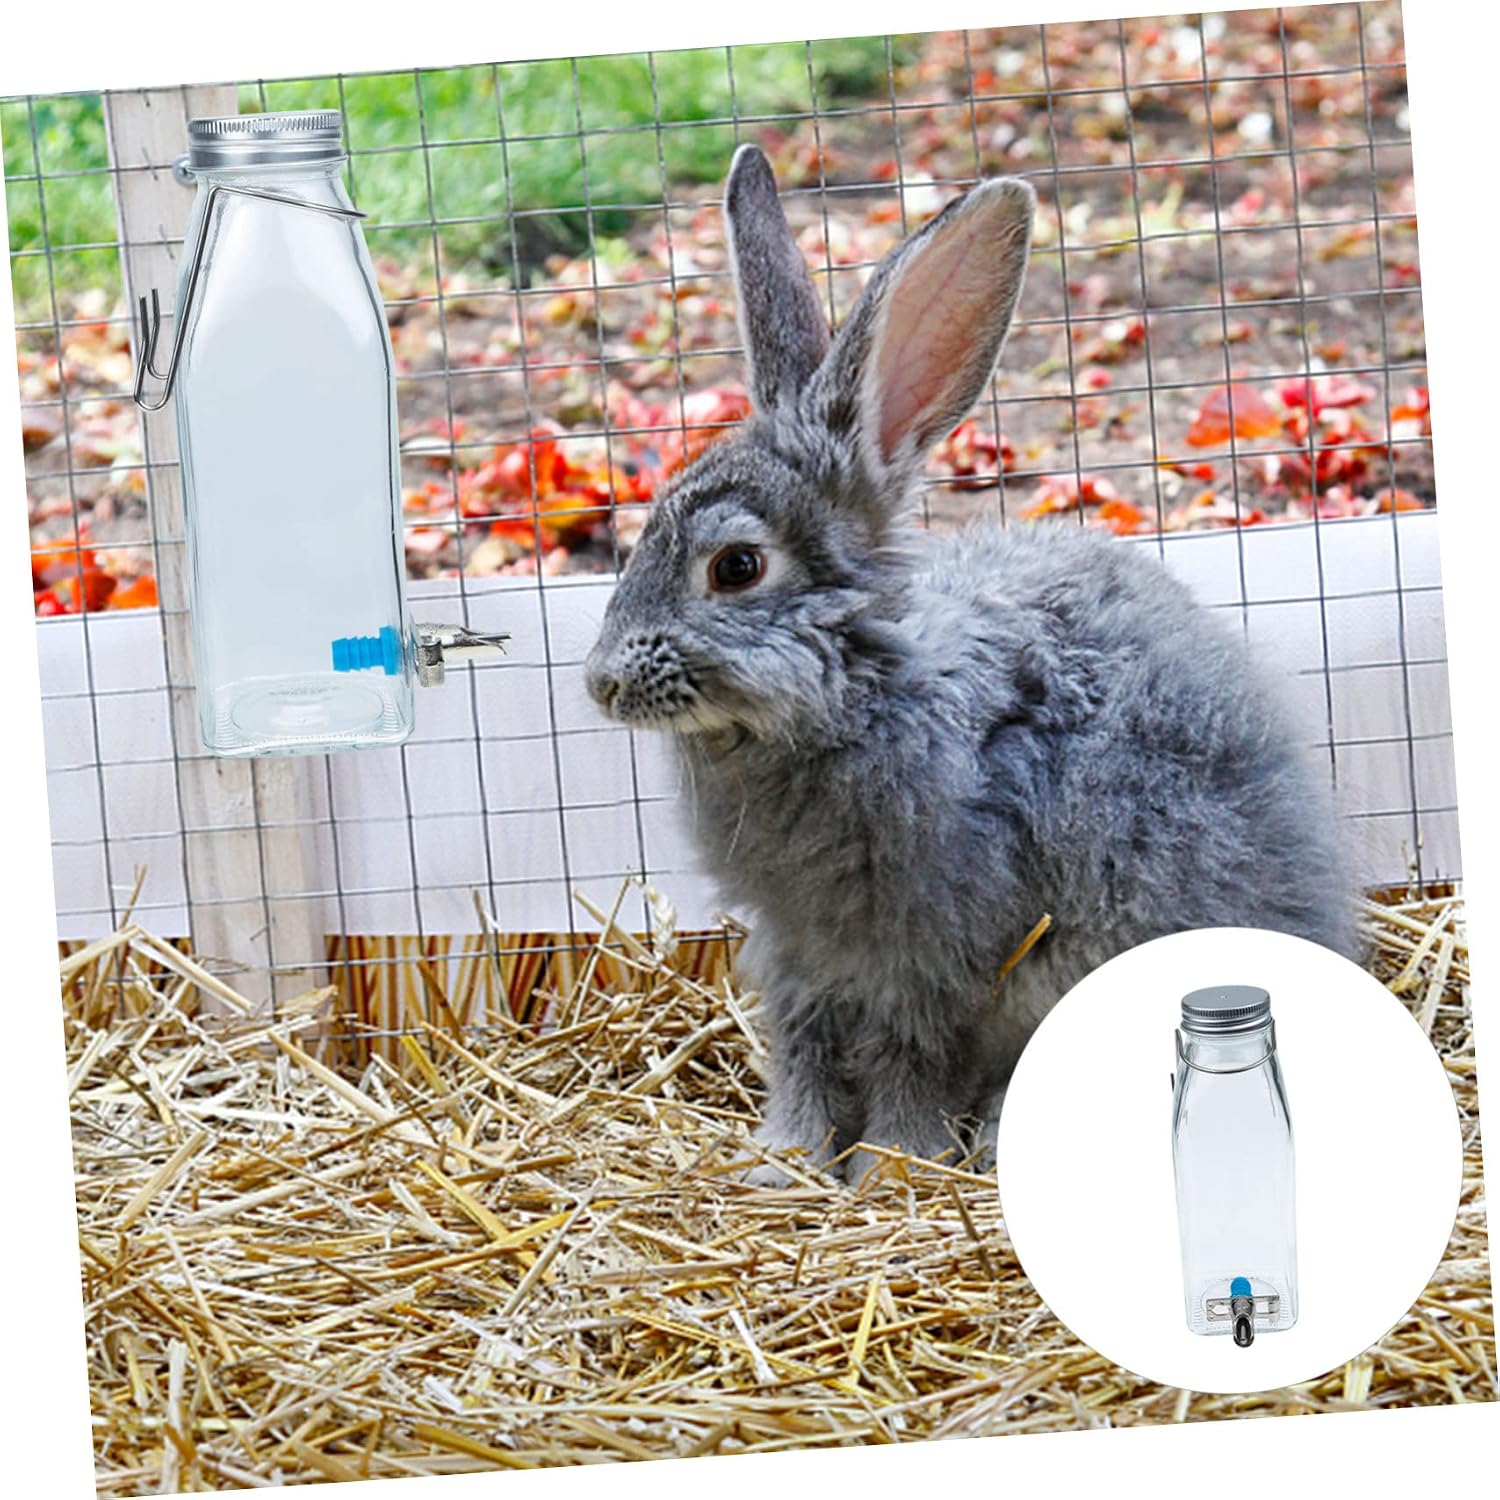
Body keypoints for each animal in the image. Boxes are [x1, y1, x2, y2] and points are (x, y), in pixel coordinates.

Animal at [585, 145, 1357, 1185]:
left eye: (736, 567)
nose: (601, 682)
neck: (859, 690)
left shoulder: (931, 953)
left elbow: (907, 1057)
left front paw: (892, 1166)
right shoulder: (797, 954)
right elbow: (803, 1048)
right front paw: (785, 1160)